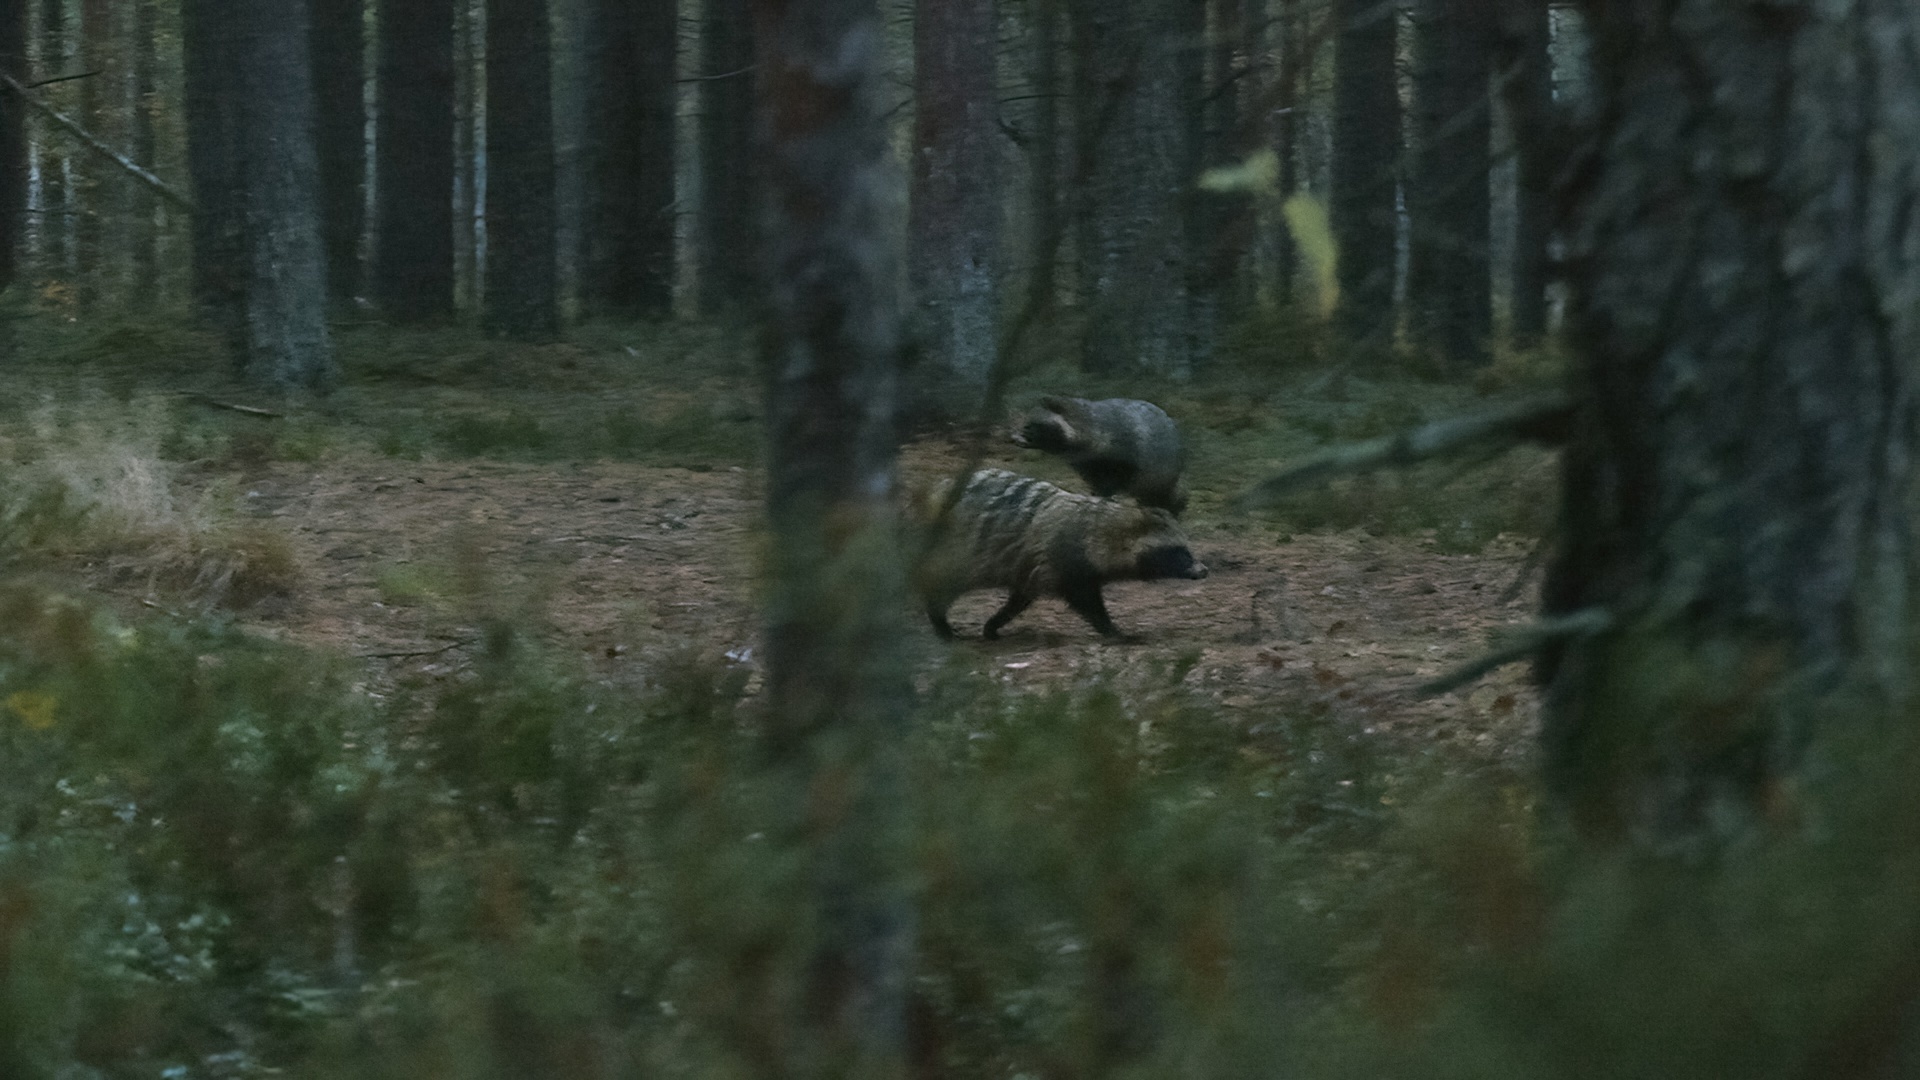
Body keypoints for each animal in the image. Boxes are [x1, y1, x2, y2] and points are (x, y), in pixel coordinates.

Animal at [910, 465, 1205, 634]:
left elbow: (1020, 598)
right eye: (1180, 553)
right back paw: (939, 622)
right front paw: (1112, 629)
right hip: (952, 549)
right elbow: (1086, 601)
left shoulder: (1028, 565)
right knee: (939, 585)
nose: (1203, 570)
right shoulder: (1063, 559)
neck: (1098, 528)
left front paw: (995, 622)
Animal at [1013, 393, 1190, 515]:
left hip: (1166, 475)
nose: (1015, 438)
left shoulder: (1124, 450)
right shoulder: (1086, 464)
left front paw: (1108, 495)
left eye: (1030, 426)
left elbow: (1122, 474)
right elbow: (1096, 481)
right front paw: (1096, 494)